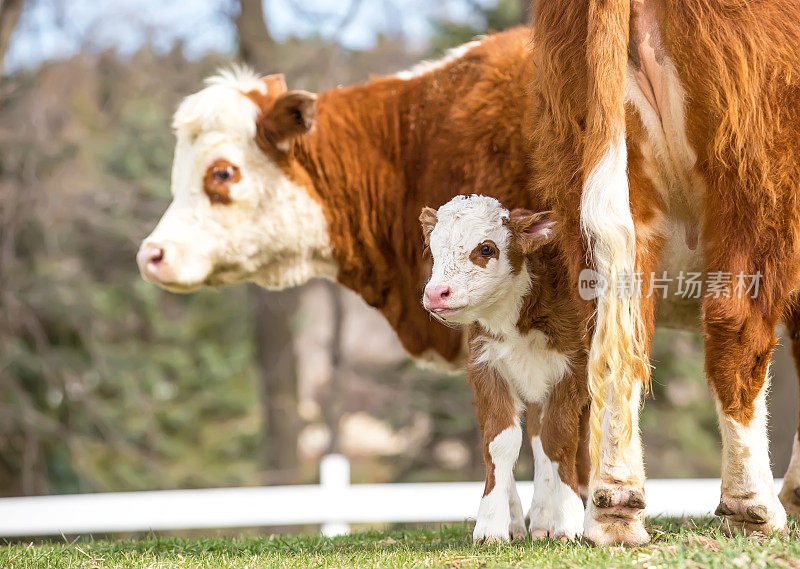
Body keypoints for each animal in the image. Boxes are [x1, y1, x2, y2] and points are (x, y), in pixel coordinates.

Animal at [418, 196, 588, 540]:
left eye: (486, 249)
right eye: (433, 248)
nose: (435, 294)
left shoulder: (573, 367)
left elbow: (560, 440)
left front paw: (569, 521)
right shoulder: (486, 368)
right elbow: (499, 442)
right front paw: (491, 526)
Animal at [528, 0, 800, 544]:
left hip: (592, 177)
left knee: (615, 332)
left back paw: (614, 507)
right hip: (757, 178)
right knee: (736, 326)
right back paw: (753, 506)